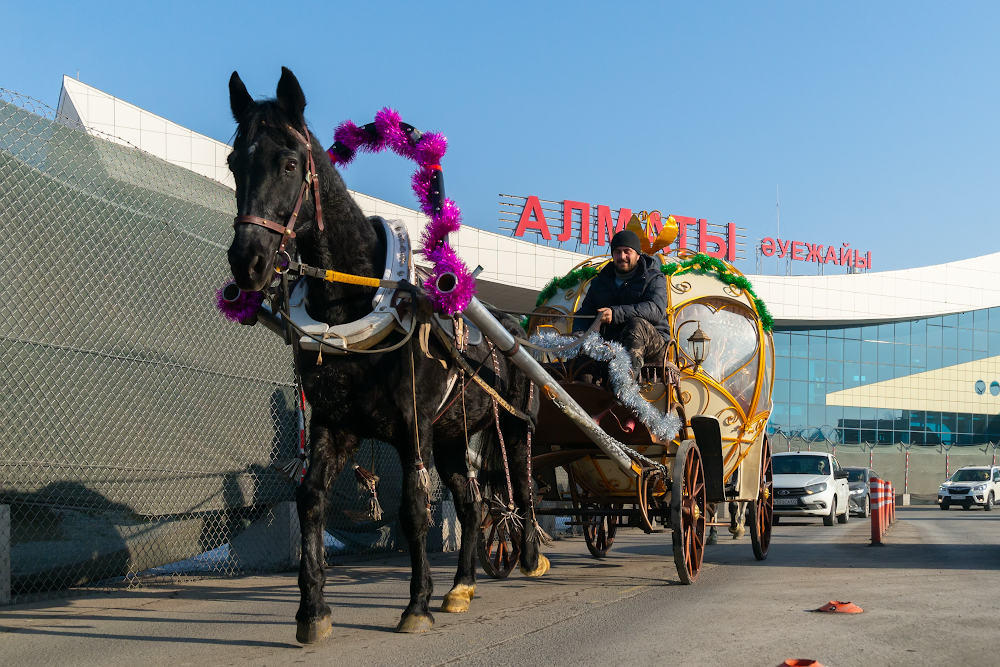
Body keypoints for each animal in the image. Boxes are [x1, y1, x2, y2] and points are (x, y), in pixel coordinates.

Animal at [225, 68, 548, 640]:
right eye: (233, 161)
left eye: (290, 162)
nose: (248, 263)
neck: (354, 304)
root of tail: (515, 328)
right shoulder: (335, 423)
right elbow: (311, 499)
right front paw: (312, 609)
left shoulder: (412, 426)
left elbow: (414, 510)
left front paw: (415, 604)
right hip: (453, 434)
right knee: (471, 504)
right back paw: (461, 586)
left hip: (513, 424)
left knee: (524, 488)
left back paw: (529, 556)